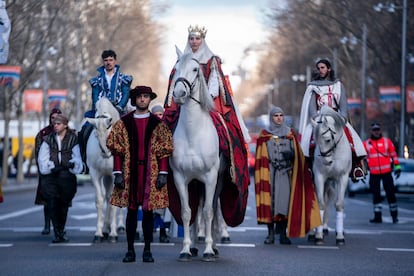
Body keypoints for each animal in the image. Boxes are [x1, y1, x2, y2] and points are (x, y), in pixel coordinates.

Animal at [83, 98, 123, 243]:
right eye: (95, 133)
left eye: (109, 129)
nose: (106, 153)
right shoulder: (95, 174)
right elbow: (100, 200)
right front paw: (99, 233)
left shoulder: (116, 176)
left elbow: (113, 201)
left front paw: (113, 234)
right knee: (106, 197)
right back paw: (105, 229)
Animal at [170, 50, 223, 262]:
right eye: (176, 68)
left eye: (195, 69)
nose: (178, 94)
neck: (193, 133)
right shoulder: (180, 177)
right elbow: (187, 212)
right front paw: (185, 249)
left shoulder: (211, 177)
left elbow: (208, 212)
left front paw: (208, 250)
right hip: (195, 183)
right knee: (195, 211)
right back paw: (192, 246)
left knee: (212, 210)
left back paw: (214, 247)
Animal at [312, 105, 350, 246]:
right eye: (315, 140)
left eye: (328, 139)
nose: (326, 161)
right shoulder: (319, 177)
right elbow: (320, 203)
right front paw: (318, 236)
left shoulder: (342, 178)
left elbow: (339, 204)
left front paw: (340, 237)